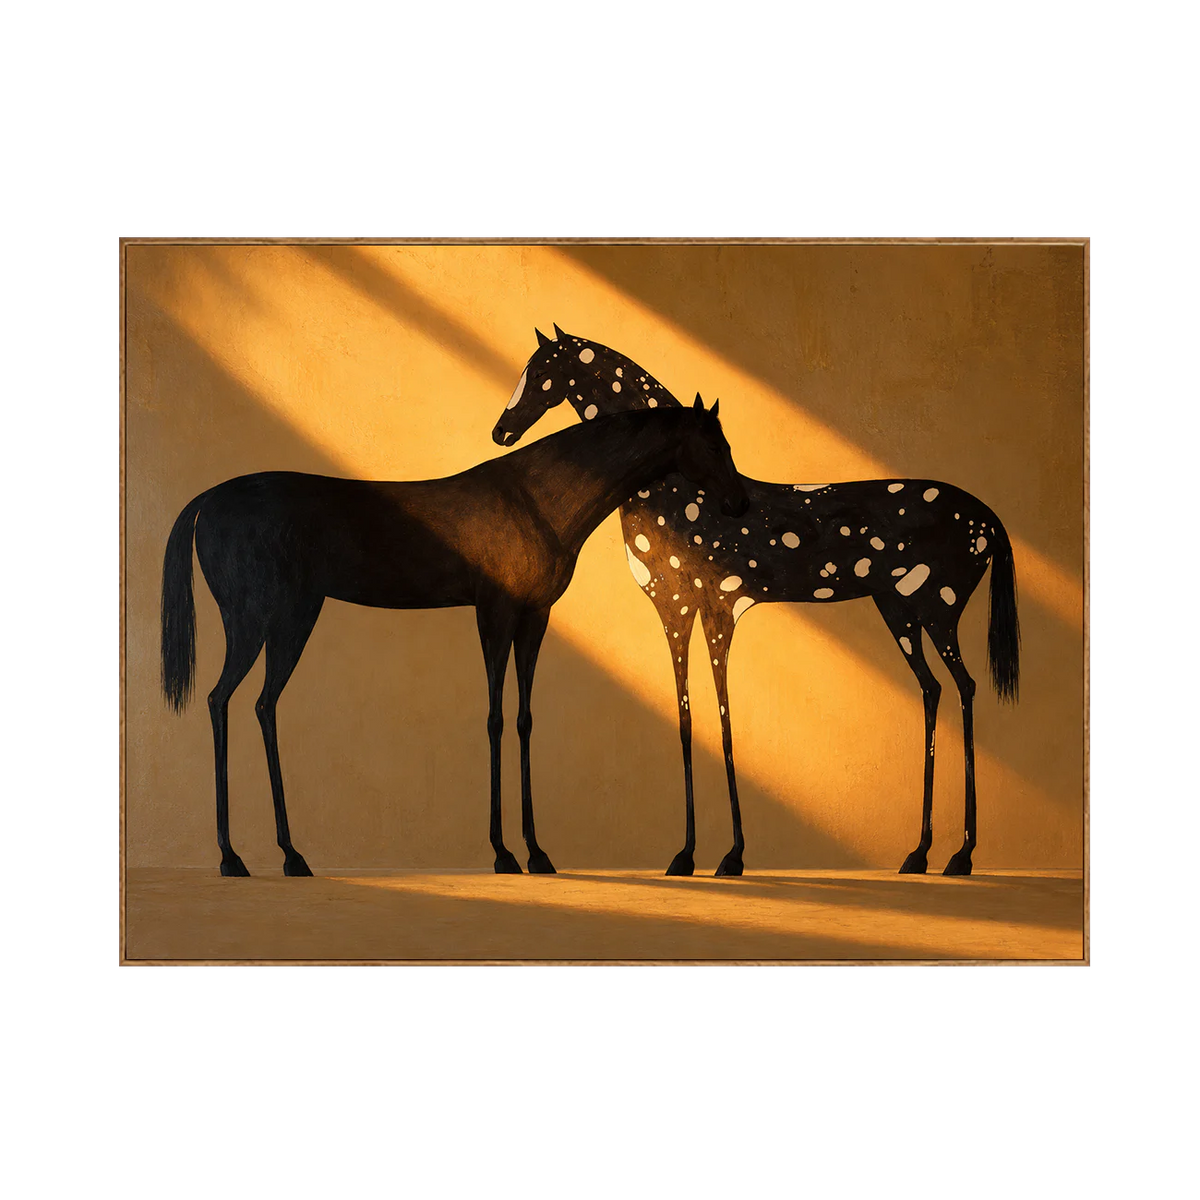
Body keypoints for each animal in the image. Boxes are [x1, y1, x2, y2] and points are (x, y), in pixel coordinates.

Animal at [161, 398, 749, 877]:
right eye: (713, 443)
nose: (738, 503)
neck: (538, 501)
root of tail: (208, 499)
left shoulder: (534, 617)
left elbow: (524, 720)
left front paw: (537, 852)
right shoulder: (494, 612)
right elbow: (493, 718)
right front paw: (503, 852)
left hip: (294, 615)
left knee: (262, 705)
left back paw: (289, 855)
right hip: (254, 617)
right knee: (220, 699)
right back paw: (233, 858)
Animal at [492, 325, 1020, 878]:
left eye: (538, 371)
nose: (501, 432)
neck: (675, 491)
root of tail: (989, 518)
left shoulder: (710, 606)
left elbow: (723, 720)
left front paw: (728, 855)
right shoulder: (678, 608)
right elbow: (688, 720)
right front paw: (689, 854)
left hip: (939, 608)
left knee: (965, 687)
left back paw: (961, 856)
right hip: (899, 609)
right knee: (933, 689)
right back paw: (918, 854)